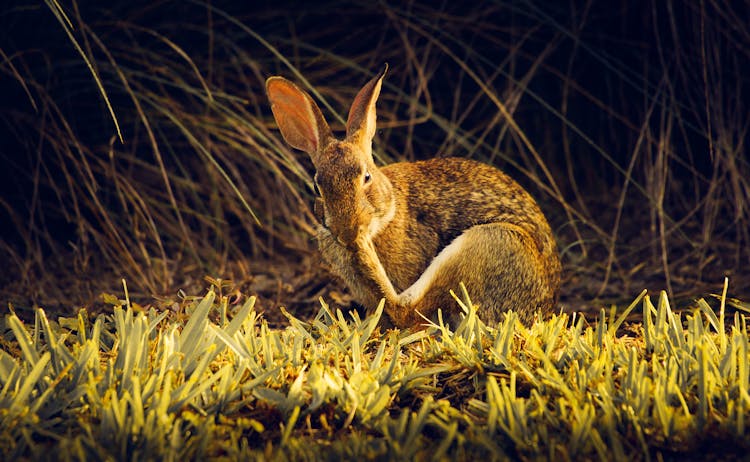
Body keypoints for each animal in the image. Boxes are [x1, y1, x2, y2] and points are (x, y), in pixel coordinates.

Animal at [268, 65, 560, 328]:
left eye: (366, 177)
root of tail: (543, 308)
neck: (386, 214)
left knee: (406, 310)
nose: (348, 232)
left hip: (490, 242)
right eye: (317, 187)